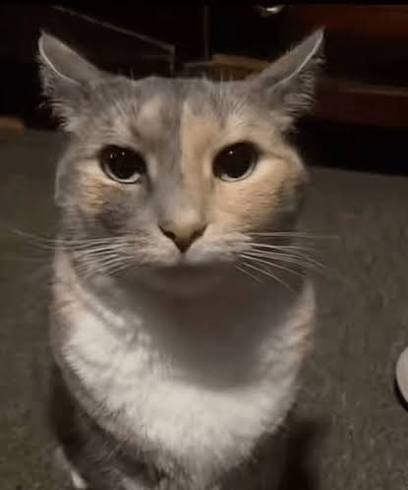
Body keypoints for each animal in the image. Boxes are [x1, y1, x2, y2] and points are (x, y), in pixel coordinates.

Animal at [38, 28, 323, 490]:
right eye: (120, 163)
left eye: (237, 161)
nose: (183, 228)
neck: (191, 341)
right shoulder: (109, 450)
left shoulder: (266, 454)